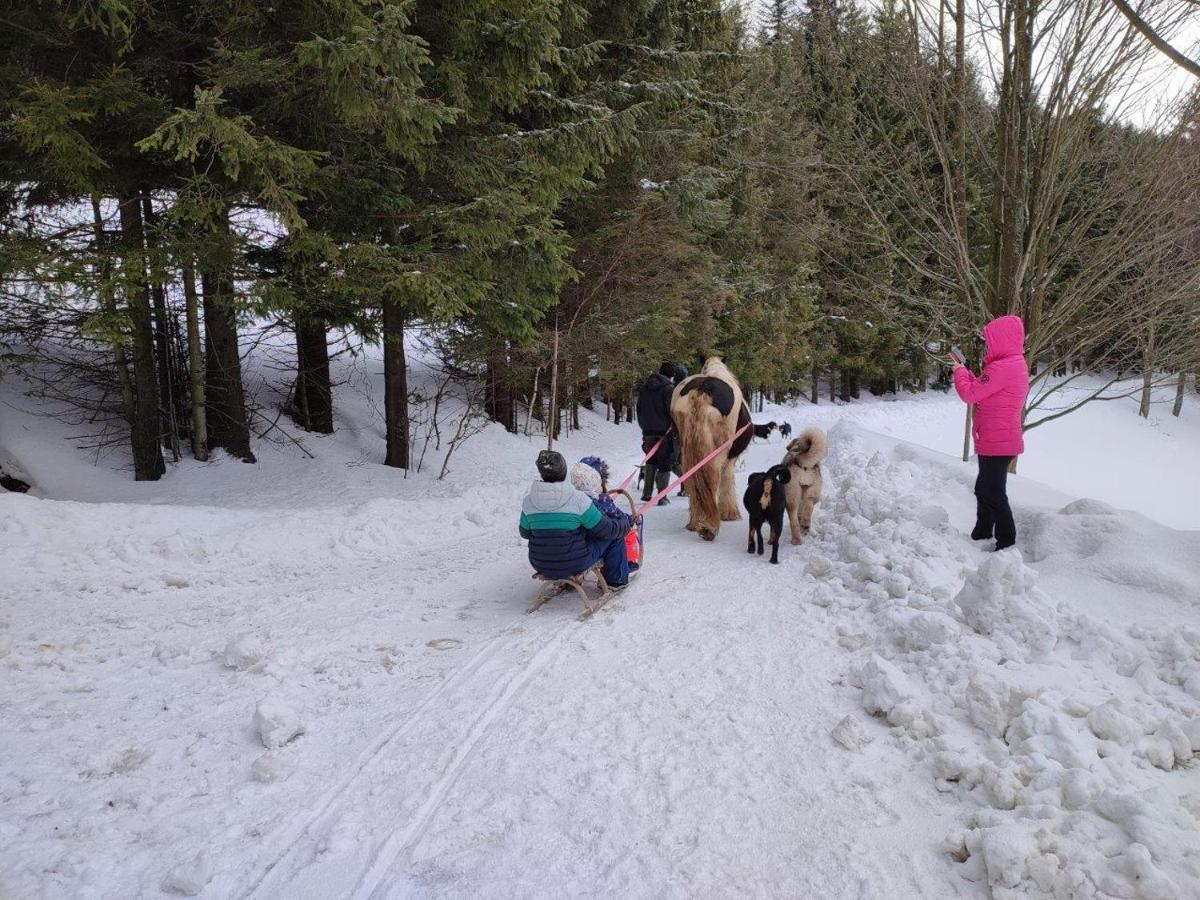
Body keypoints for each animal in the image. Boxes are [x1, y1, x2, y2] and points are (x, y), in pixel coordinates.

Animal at [667, 357, 748, 542]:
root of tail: (703, 389)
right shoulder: (730, 459)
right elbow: (727, 480)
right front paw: (730, 513)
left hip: (687, 449)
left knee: (691, 478)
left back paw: (694, 522)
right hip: (718, 451)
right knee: (713, 476)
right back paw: (709, 528)